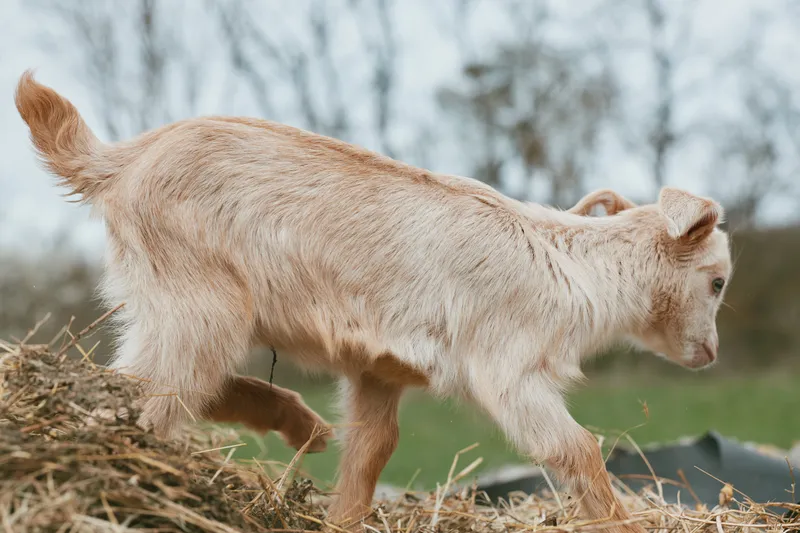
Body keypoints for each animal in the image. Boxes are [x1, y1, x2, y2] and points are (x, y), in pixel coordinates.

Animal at [16, 71, 731, 533]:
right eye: (719, 281)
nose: (711, 353)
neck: (572, 269)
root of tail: (120, 161)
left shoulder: (379, 370)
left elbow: (372, 450)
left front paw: (343, 519)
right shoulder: (508, 367)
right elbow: (577, 447)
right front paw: (622, 522)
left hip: (169, 298)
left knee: (165, 383)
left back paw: (302, 424)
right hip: (198, 298)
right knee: (146, 389)